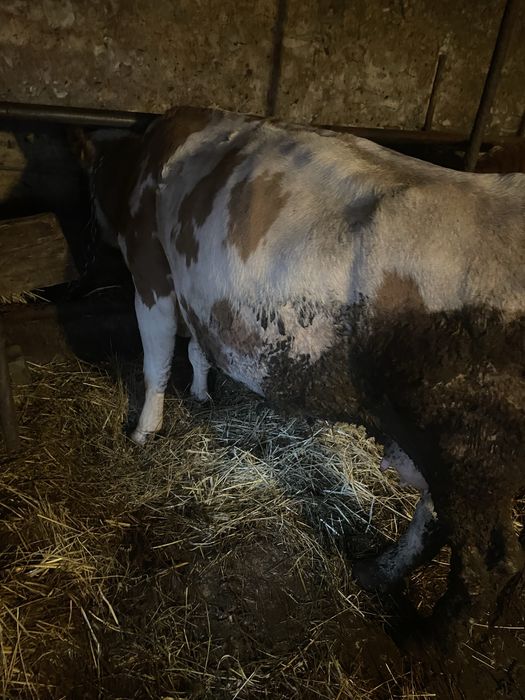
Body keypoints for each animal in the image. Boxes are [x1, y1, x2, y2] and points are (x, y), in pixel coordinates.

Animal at [79, 107, 525, 643]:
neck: (141, 164)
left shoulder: (151, 272)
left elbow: (156, 359)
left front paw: (144, 431)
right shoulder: (199, 296)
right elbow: (198, 350)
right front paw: (203, 394)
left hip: (468, 454)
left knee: (485, 564)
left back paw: (431, 639)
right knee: (448, 527)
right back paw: (375, 572)